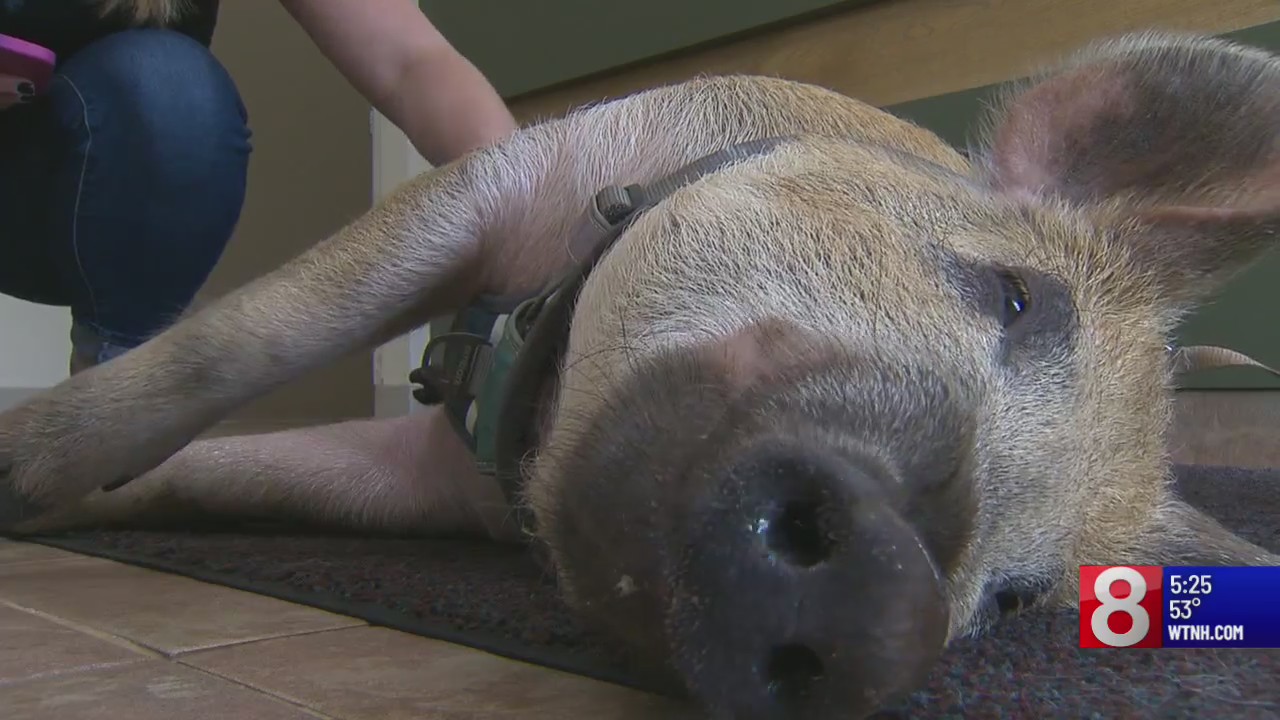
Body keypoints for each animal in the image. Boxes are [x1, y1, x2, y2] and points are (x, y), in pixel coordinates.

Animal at [2, 29, 1279, 720]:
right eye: (1015, 298)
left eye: (1021, 597)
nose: (895, 597)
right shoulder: (499, 180)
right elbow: (248, 337)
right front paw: (23, 475)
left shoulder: (413, 481)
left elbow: (239, 471)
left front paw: (70, 506)